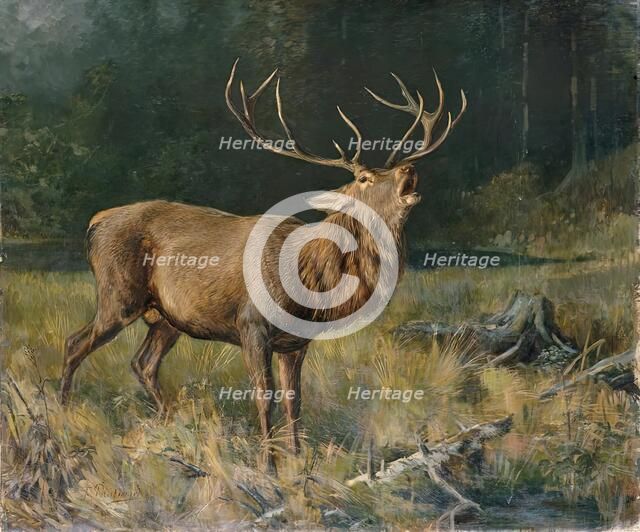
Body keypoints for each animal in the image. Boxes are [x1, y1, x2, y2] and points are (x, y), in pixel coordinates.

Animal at [60, 59, 466, 470]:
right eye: (366, 178)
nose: (409, 169)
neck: (314, 281)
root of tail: (96, 221)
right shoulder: (251, 325)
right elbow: (263, 395)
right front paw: (267, 464)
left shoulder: (295, 342)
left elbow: (294, 400)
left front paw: (298, 460)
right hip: (118, 295)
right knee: (75, 342)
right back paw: (62, 413)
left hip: (166, 318)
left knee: (142, 364)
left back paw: (165, 423)